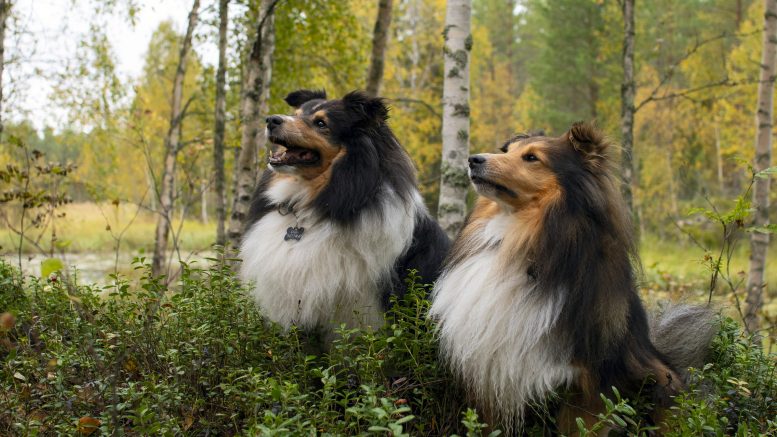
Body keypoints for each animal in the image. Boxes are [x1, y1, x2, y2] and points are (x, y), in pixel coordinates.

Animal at [430, 122, 716, 432]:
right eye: (506, 151)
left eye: (532, 158)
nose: (473, 160)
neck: (519, 236)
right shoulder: (488, 371)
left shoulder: (587, 384)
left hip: (660, 381)